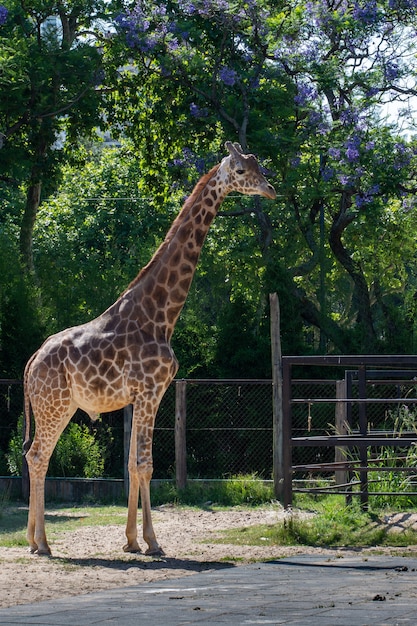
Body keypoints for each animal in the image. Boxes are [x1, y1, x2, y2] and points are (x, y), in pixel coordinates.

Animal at [23, 139, 276, 552]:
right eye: (241, 171)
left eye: (260, 166)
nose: (270, 190)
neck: (161, 316)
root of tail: (30, 363)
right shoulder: (150, 391)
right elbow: (146, 464)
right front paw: (153, 541)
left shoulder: (143, 396)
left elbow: (132, 464)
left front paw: (130, 541)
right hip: (54, 405)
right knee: (38, 456)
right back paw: (42, 542)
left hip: (60, 405)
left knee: (34, 455)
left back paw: (33, 538)